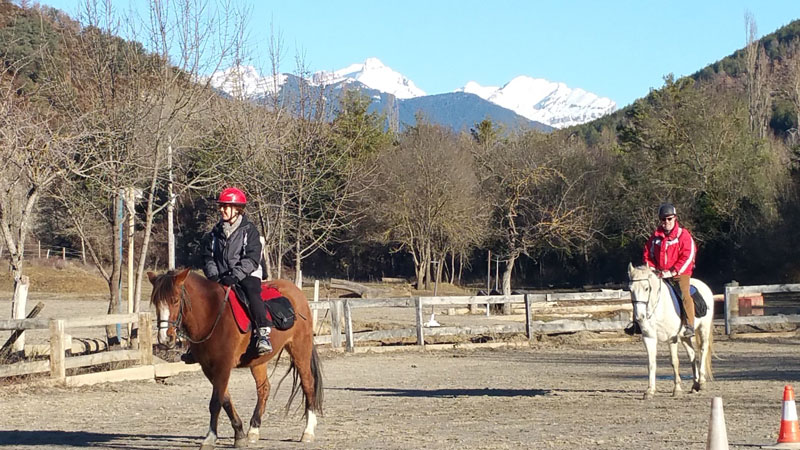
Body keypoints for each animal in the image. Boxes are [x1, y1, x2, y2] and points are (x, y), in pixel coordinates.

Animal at [147, 268, 322, 448]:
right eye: (156, 302)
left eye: (175, 300)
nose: (165, 338)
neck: (212, 313)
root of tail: (297, 293)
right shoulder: (209, 368)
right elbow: (225, 399)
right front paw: (239, 434)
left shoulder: (223, 366)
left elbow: (215, 402)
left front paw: (210, 438)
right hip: (258, 362)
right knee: (264, 389)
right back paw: (254, 429)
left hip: (300, 350)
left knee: (308, 384)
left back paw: (308, 431)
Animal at [628, 262, 716, 400]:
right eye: (630, 289)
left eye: (647, 288)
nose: (639, 316)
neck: (658, 308)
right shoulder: (648, 337)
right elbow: (651, 363)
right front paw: (649, 391)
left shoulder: (672, 338)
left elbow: (674, 362)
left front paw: (677, 389)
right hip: (685, 336)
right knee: (692, 354)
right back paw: (695, 385)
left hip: (704, 328)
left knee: (703, 350)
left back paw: (701, 382)